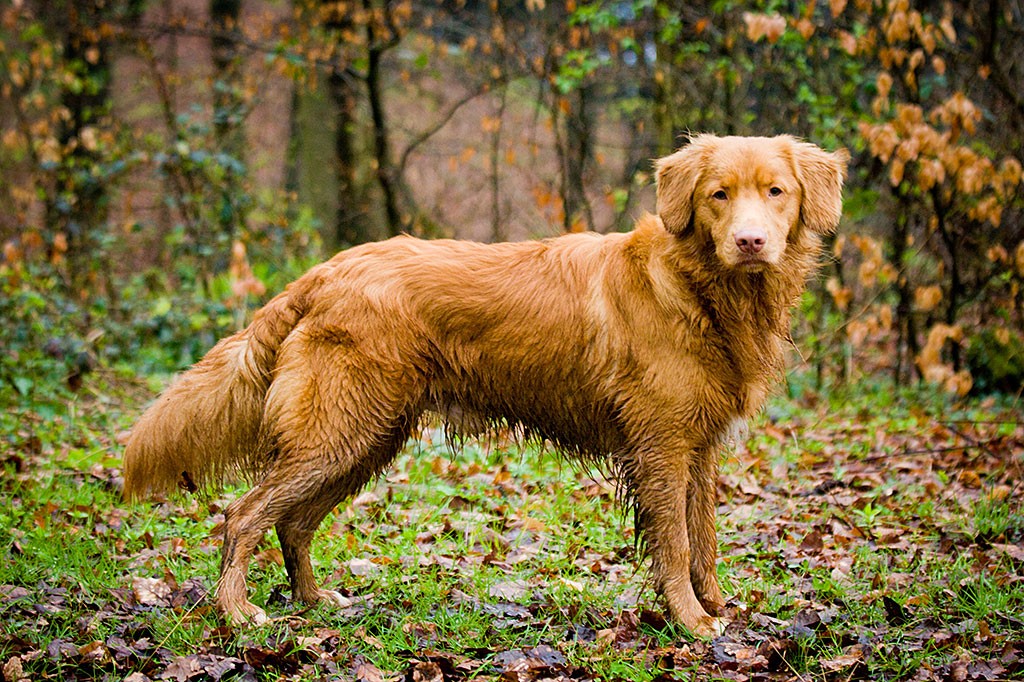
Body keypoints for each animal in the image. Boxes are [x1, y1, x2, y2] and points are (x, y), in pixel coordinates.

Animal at [123, 133, 847, 630]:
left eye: (775, 192)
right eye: (717, 195)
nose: (751, 243)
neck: (697, 291)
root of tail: (326, 271)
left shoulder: (698, 449)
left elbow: (705, 539)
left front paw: (719, 607)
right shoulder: (662, 448)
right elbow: (673, 544)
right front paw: (692, 622)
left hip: (365, 439)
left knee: (294, 524)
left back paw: (313, 599)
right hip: (337, 434)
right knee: (244, 514)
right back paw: (237, 612)